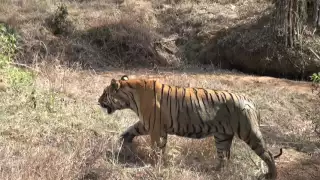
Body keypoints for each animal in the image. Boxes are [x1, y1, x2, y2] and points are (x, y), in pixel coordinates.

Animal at [98, 74, 282, 179]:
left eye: (104, 93)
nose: (98, 101)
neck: (131, 96)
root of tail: (251, 101)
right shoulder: (146, 123)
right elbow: (131, 129)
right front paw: (124, 141)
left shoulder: (155, 127)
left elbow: (157, 148)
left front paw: (156, 164)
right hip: (222, 136)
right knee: (224, 156)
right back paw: (214, 171)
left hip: (249, 132)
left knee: (268, 154)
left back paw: (271, 175)